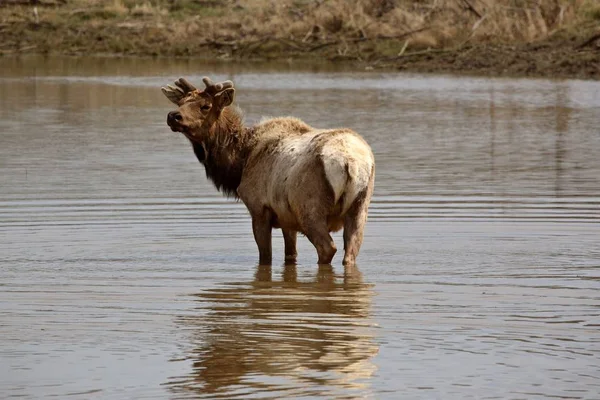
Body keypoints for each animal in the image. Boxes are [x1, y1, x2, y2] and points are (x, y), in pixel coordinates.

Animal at [162, 77, 372, 266]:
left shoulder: (259, 207)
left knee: (327, 248)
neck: (239, 164)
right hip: (360, 207)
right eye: (181, 102)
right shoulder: (287, 218)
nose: (173, 115)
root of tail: (350, 162)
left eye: (205, 106)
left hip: (310, 208)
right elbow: (290, 254)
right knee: (351, 251)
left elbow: (266, 257)